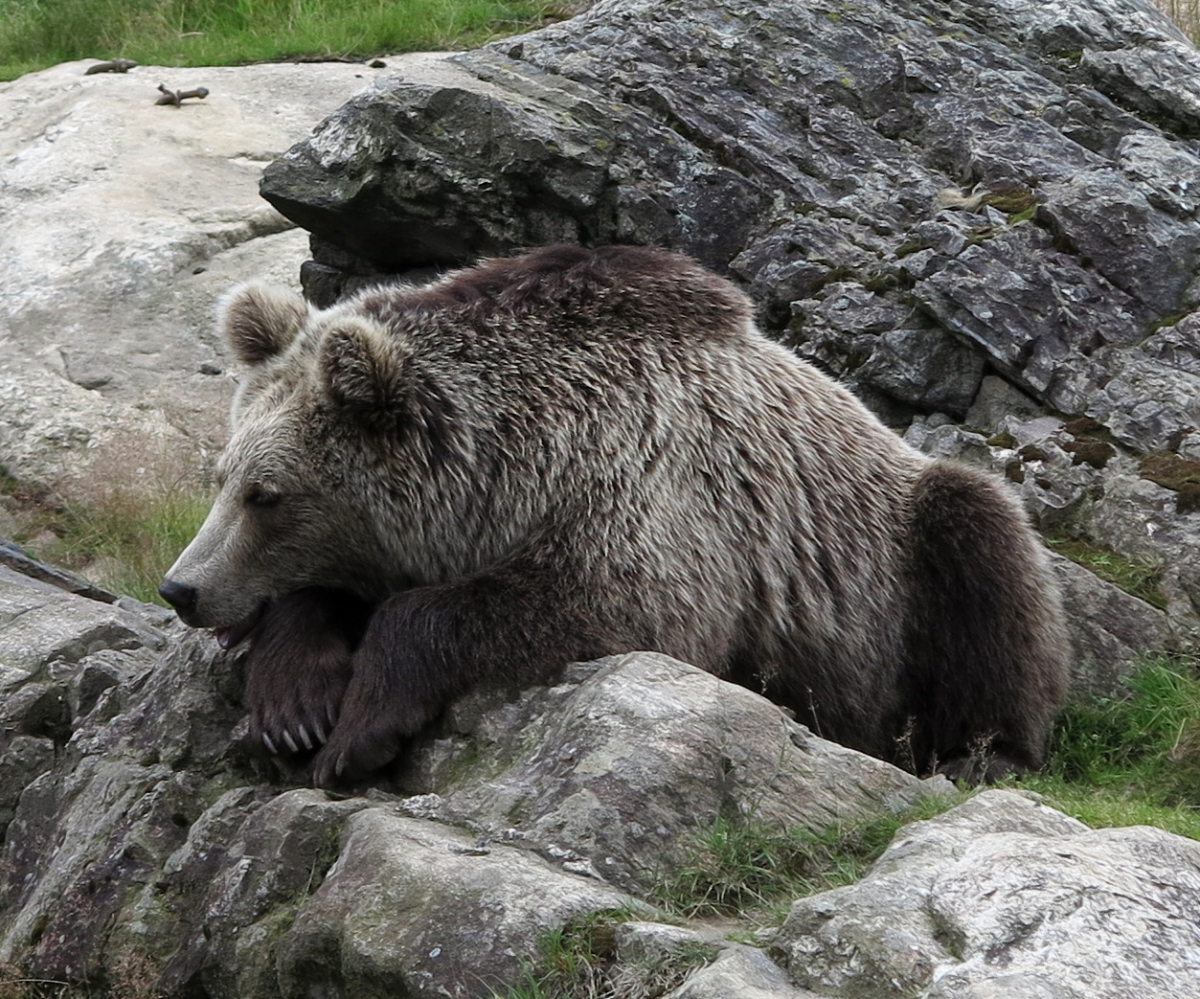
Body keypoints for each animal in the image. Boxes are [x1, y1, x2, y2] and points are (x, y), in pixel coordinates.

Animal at [159, 244, 1070, 786]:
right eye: (224, 475)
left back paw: (979, 752)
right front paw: (293, 705)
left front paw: (357, 732)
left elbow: (606, 602)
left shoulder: (648, 487)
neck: (508, 466)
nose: (181, 588)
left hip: (897, 559)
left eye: (268, 494)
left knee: (980, 550)